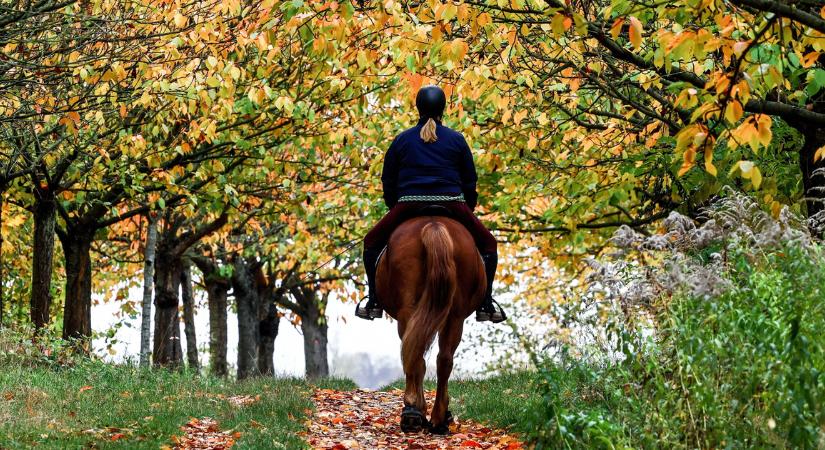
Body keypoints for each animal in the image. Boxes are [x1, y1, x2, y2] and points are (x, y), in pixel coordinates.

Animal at [376, 213, 486, 434]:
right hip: (454, 316)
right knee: (442, 359)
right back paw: (435, 418)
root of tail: (434, 225)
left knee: (419, 355)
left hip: (412, 311)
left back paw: (416, 412)